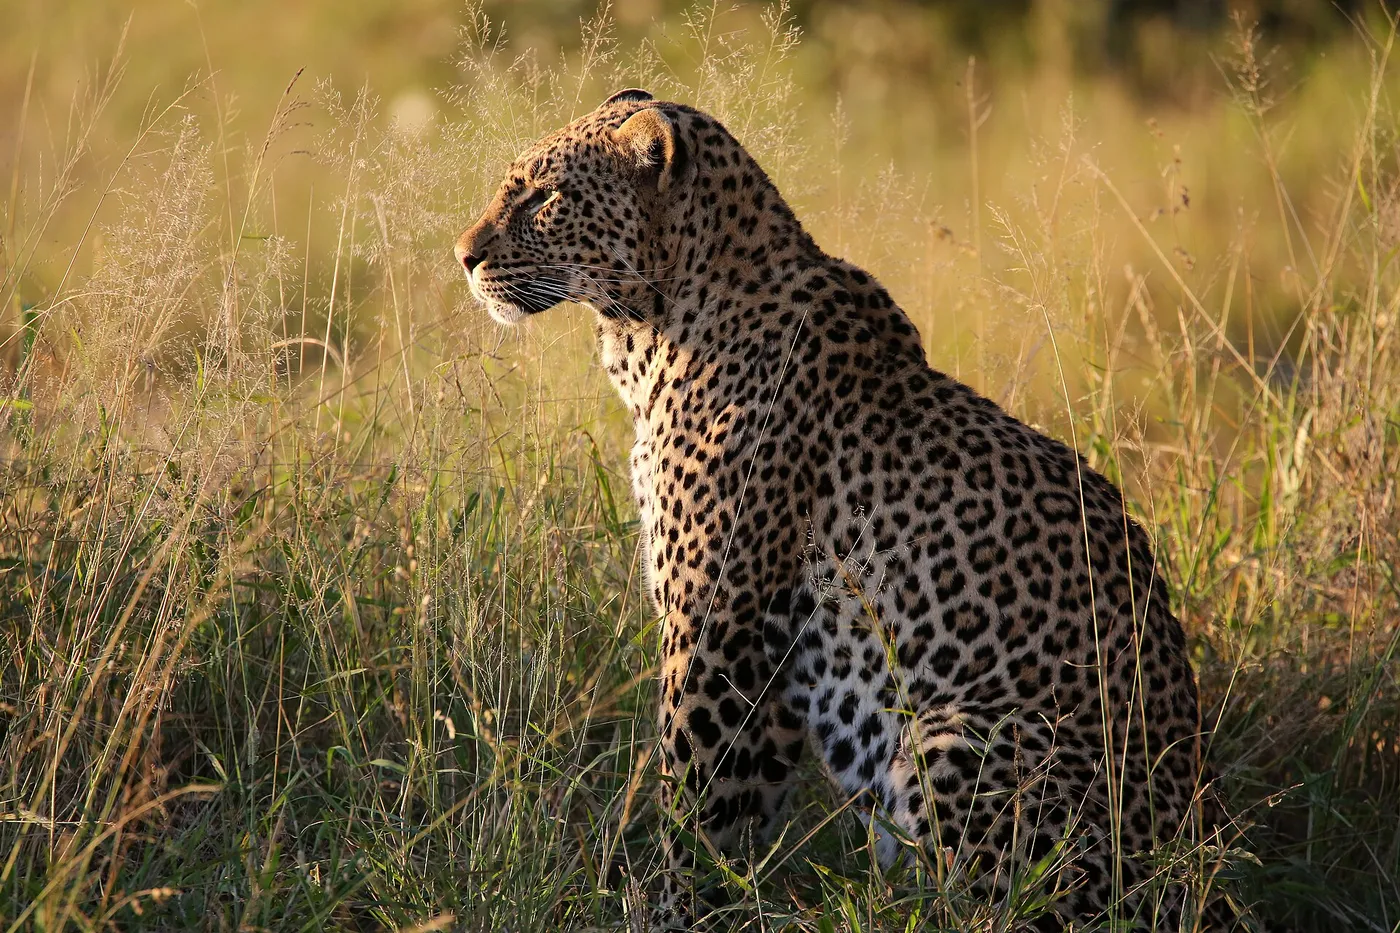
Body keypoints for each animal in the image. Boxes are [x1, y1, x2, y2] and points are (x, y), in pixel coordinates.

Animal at [455, 89, 1239, 930]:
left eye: (544, 197)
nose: (463, 256)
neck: (654, 333)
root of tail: (1201, 866)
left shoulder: (717, 619)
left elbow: (694, 792)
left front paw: (666, 906)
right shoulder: (769, 658)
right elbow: (743, 806)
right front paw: (724, 898)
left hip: (956, 733)